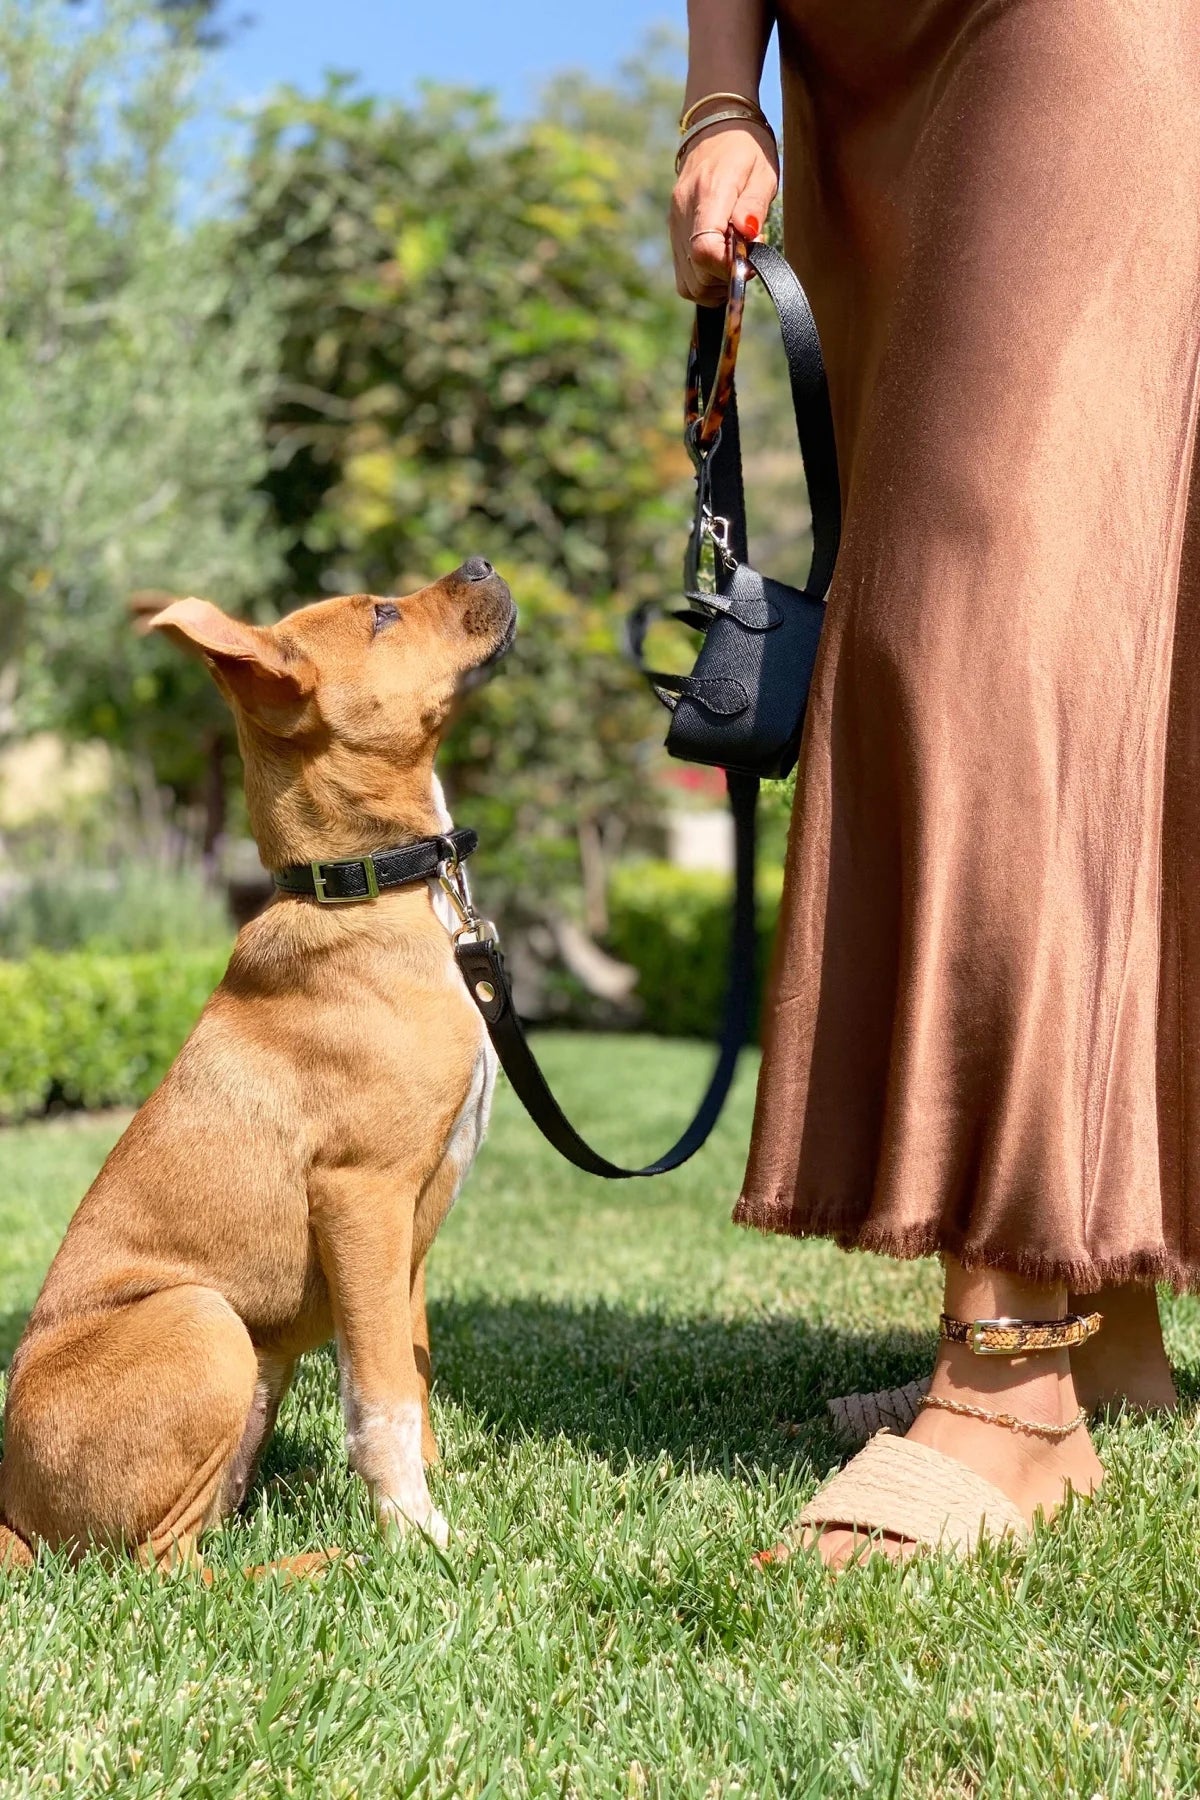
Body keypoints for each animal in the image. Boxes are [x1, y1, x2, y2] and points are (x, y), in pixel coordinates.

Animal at [0, 558, 510, 1562]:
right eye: (383, 615)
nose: (481, 564)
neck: (362, 893)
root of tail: (7, 1512)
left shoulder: (410, 1235)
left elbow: (414, 1369)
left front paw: (432, 1499)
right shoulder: (361, 1196)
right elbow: (381, 1394)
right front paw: (418, 1534)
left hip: (255, 1368)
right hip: (206, 1320)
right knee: (156, 1564)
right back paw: (314, 1564)